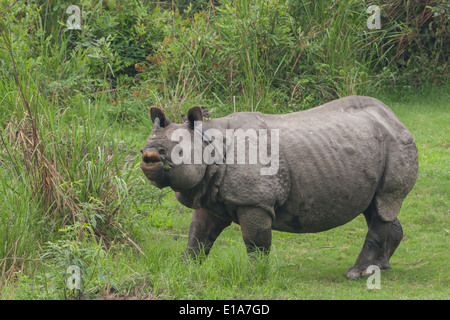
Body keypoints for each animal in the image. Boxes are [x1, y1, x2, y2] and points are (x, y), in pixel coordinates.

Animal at [141, 96, 418, 278]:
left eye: (175, 152)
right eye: (146, 145)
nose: (148, 155)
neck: (210, 141)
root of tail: (395, 118)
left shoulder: (255, 202)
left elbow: (255, 242)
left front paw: (256, 275)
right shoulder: (208, 195)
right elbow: (198, 236)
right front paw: (183, 269)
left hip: (396, 143)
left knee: (383, 203)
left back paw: (356, 274)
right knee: (377, 206)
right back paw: (380, 267)